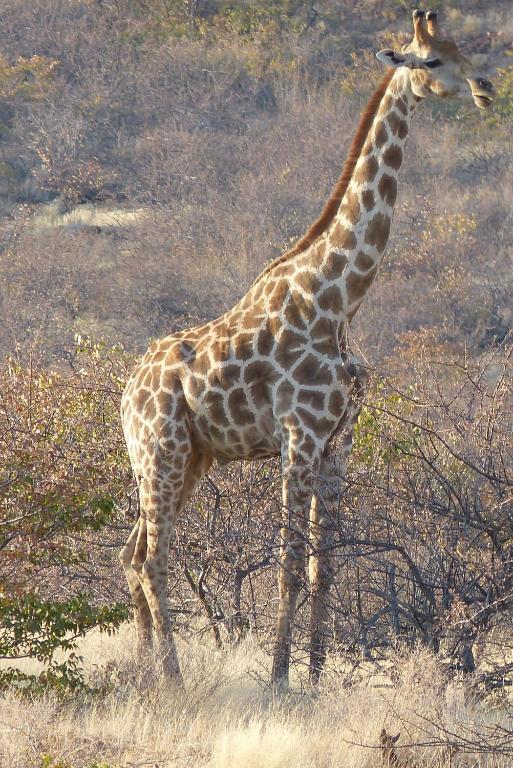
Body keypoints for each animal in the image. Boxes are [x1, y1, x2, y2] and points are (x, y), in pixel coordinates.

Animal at [119, 9, 492, 688]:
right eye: (431, 61)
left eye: (464, 50)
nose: (484, 88)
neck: (338, 298)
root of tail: (127, 394)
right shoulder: (299, 435)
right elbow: (291, 563)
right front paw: (278, 681)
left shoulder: (337, 441)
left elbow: (326, 566)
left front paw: (316, 679)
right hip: (160, 452)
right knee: (155, 557)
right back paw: (173, 678)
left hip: (188, 459)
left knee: (133, 553)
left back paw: (145, 672)